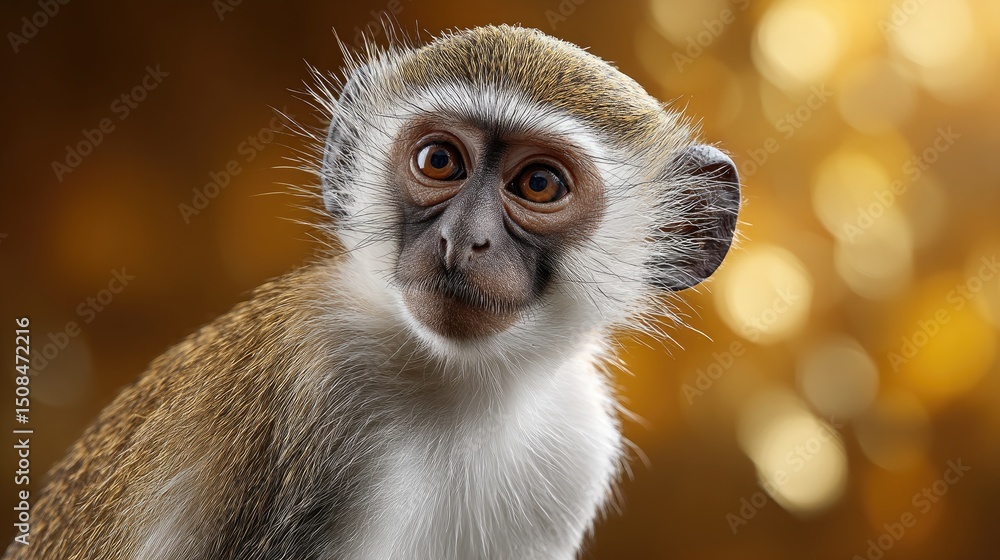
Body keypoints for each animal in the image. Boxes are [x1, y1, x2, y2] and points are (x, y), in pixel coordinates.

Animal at [5, 25, 740, 560]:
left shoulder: (575, 449)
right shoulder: (314, 391)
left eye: (539, 184)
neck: (462, 390)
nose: (463, 239)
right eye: (439, 161)